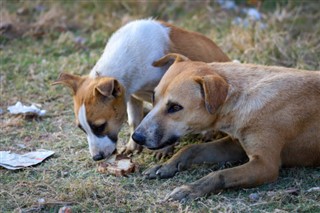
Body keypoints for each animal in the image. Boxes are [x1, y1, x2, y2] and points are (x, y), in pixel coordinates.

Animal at [132, 53, 320, 201]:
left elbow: (220, 174)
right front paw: (167, 166)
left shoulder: (266, 165)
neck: (244, 95)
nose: (136, 137)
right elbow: (192, 148)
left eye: (175, 107)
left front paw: (190, 189)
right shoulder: (236, 145)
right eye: (153, 97)